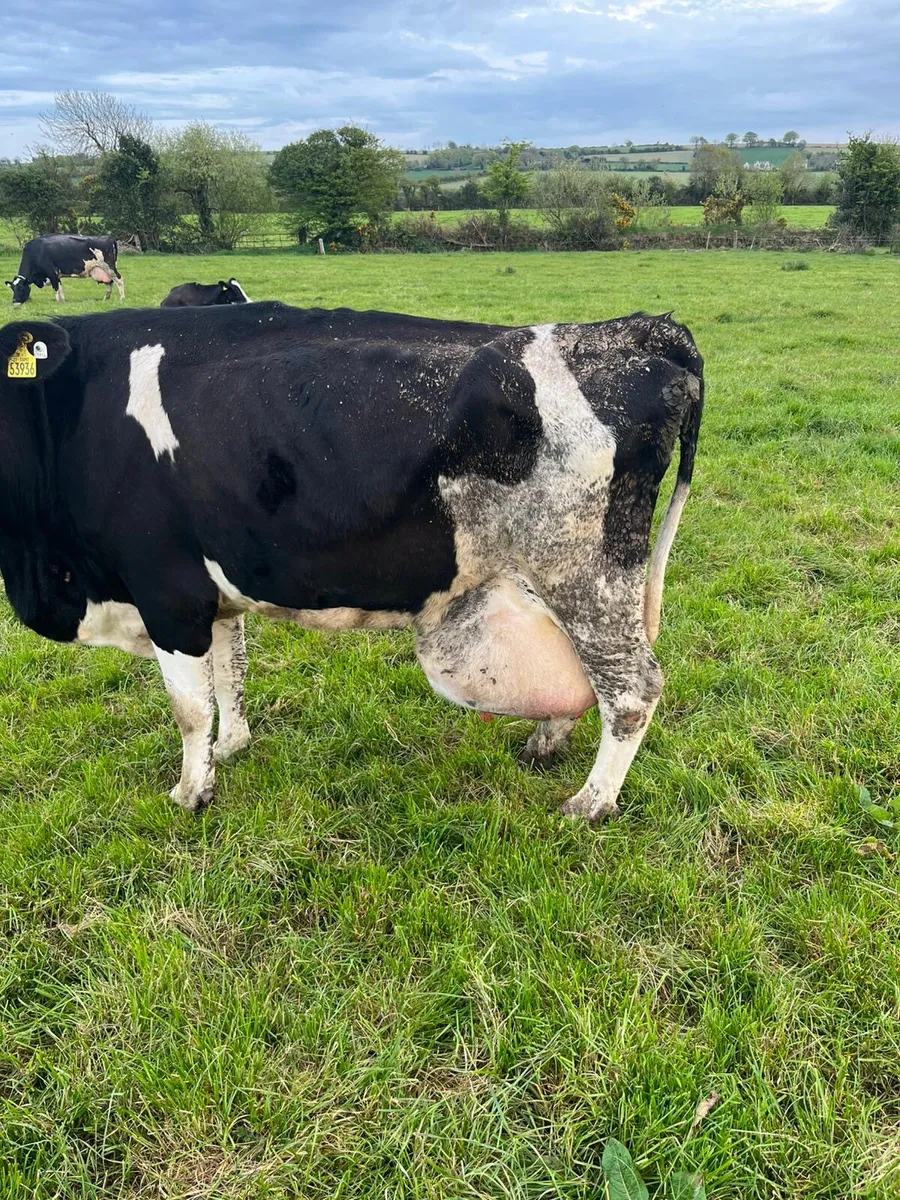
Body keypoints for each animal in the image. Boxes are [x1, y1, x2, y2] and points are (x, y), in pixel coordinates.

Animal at [0, 302, 703, 822]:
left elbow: (189, 706)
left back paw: (590, 802)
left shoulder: (167, 590)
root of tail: (635, 327)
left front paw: (191, 793)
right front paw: (232, 749)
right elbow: (230, 672)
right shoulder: (214, 593)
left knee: (632, 688)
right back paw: (544, 745)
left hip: (587, 574)